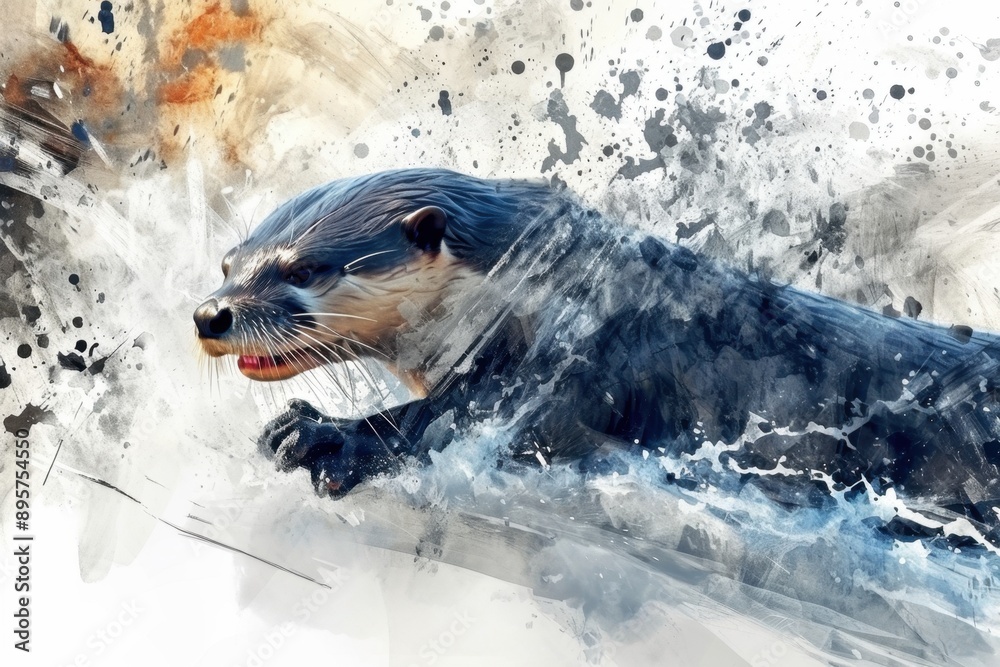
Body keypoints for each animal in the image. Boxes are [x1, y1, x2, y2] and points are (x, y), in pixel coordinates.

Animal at [194, 168, 1000, 543]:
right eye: (231, 262)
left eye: (305, 269)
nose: (210, 313)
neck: (553, 293)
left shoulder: (574, 376)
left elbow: (442, 424)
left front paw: (321, 435)